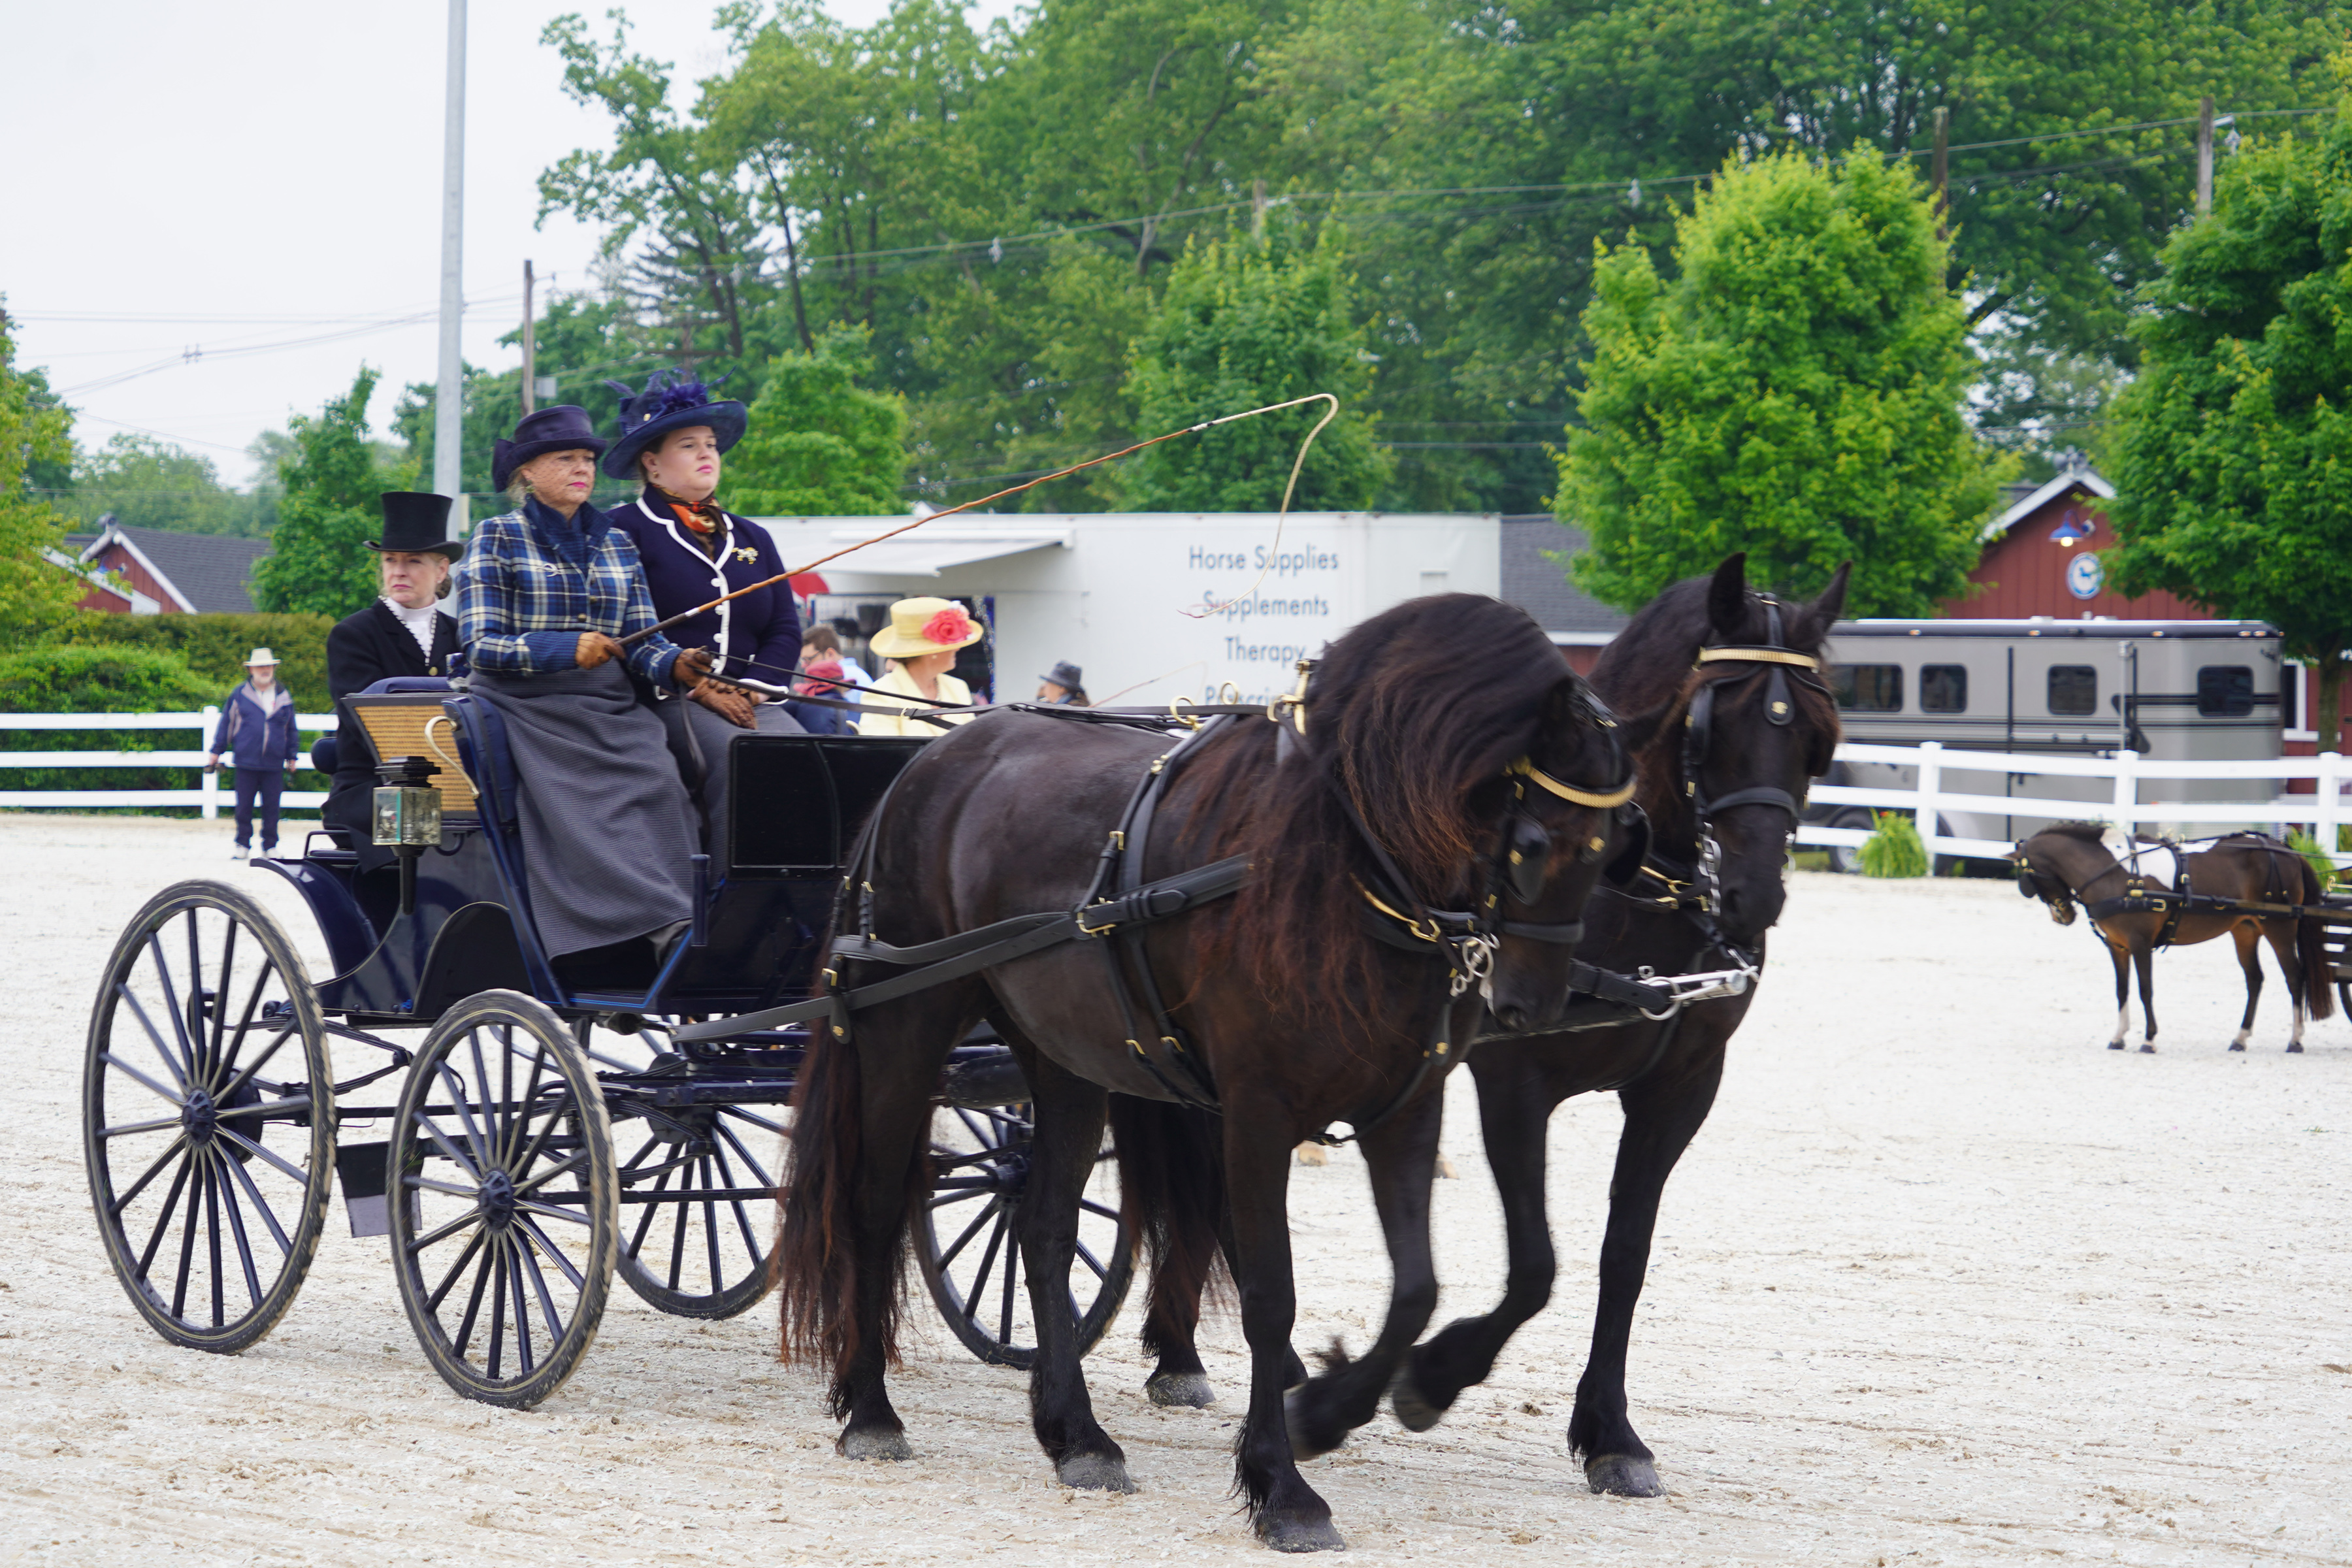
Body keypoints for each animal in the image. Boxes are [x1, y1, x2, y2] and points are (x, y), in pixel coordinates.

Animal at [775, 593, 1640, 1551]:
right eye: (1534, 844)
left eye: (1614, 844)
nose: (1534, 1004)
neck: (1342, 864)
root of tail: (925, 765)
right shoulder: (1257, 1114)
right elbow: (1270, 1296)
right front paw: (1283, 1486)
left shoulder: (1404, 1109)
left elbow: (1416, 1288)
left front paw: (1338, 1409)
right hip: (908, 1022)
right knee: (873, 1207)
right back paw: (871, 1411)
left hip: (1064, 1058)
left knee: (1042, 1227)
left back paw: (1077, 1435)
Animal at [1118, 553, 1849, 1497]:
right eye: (1711, 719)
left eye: (1818, 736)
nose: (1752, 903)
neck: (1632, 902)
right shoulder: (1515, 1079)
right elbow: (1535, 1265)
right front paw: (1425, 1381)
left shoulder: (1681, 1087)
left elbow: (1624, 1255)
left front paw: (1612, 1434)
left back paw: (1217, 1362)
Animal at [2013, 824, 2334, 1052]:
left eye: (2028, 878)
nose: (2063, 915)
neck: (2116, 874)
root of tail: (2286, 850)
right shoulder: (2118, 947)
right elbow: (2122, 990)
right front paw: (2118, 1037)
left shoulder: (2140, 943)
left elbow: (2145, 989)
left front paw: (2149, 1039)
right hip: (2245, 929)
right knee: (2255, 979)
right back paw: (2240, 1038)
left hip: (2280, 928)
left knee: (2294, 977)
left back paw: (2296, 1040)